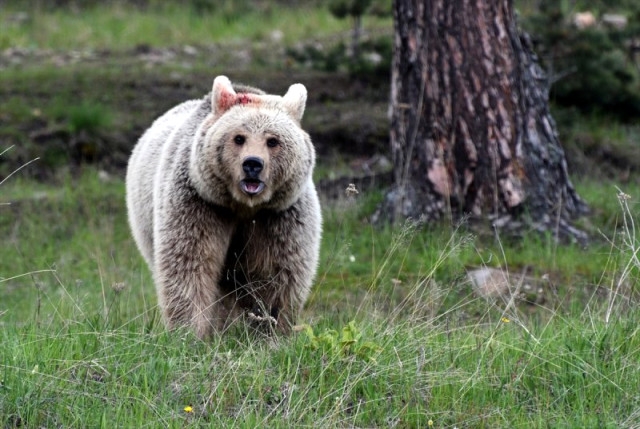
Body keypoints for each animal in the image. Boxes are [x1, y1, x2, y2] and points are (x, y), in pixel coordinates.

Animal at [125, 76, 322, 338]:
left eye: (273, 140)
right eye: (239, 137)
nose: (252, 164)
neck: (243, 206)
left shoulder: (278, 216)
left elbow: (276, 275)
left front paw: (270, 330)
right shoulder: (200, 204)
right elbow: (190, 265)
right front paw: (189, 332)